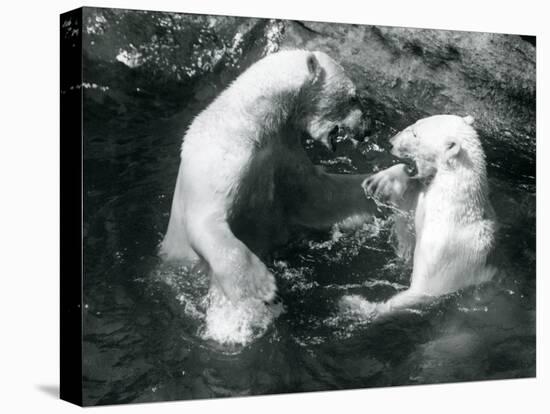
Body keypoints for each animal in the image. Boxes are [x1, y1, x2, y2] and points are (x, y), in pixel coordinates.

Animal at [161, 50, 380, 342]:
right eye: (353, 97)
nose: (368, 127)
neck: (252, 122)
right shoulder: (222, 160)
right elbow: (205, 221)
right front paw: (263, 287)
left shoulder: (282, 151)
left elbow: (317, 195)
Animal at [350, 115, 500, 316]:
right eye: (415, 123)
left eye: (415, 133)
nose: (391, 142)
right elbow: (409, 203)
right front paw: (381, 181)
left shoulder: (444, 254)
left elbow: (424, 289)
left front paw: (361, 305)